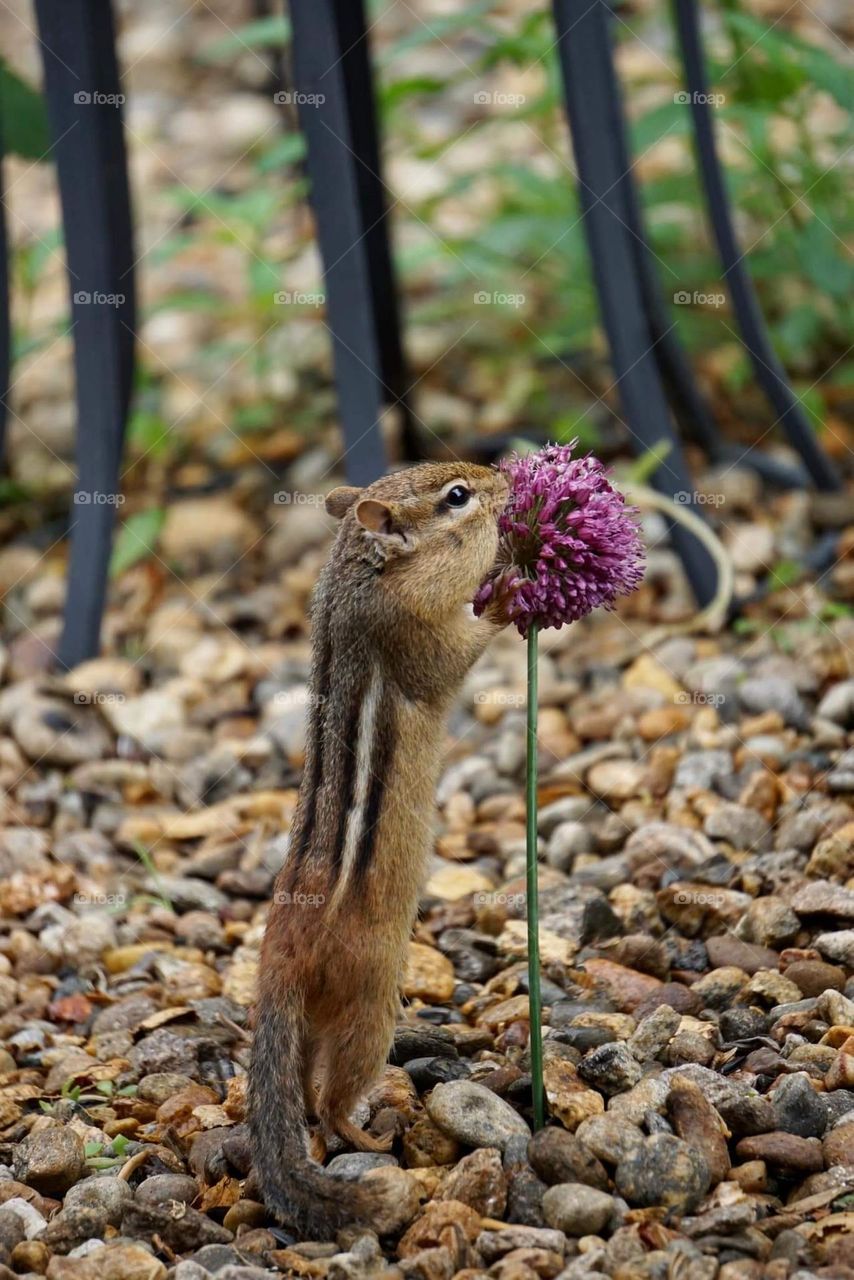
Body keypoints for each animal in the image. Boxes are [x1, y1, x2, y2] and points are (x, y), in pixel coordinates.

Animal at [249, 461, 510, 1240]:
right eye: (457, 497)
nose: (506, 480)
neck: (357, 580)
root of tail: (278, 965)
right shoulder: (415, 633)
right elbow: (458, 651)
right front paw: (505, 585)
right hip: (370, 1008)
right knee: (333, 1099)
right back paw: (371, 1134)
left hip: (319, 1023)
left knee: (308, 1092)